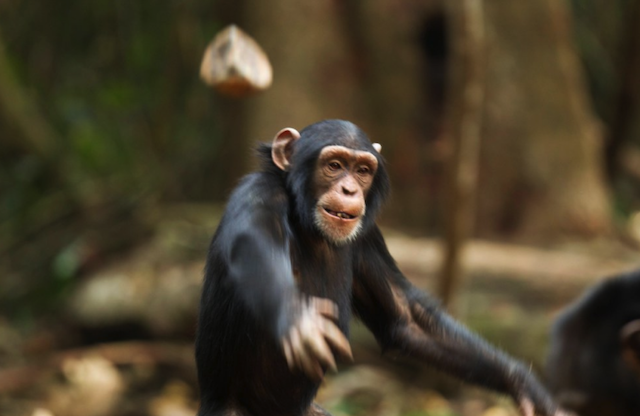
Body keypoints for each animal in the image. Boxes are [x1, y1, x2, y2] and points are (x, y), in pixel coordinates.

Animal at [196, 118, 564, 416]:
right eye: (334, 165)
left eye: (362, 171)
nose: (349, 189)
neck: (309, 224)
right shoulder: (258, 197)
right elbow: (254, 252)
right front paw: (298, 319)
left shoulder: (368, 237)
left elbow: (403, 317)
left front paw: (523, 384)